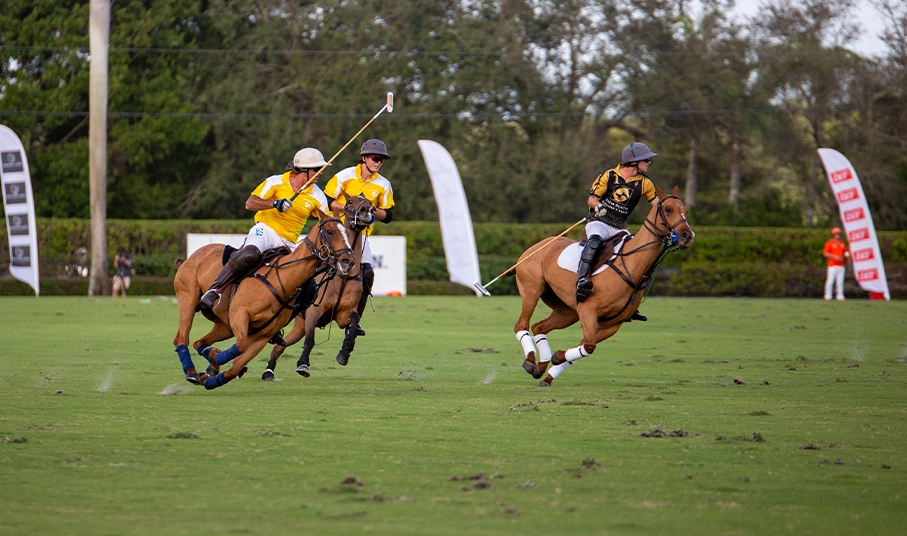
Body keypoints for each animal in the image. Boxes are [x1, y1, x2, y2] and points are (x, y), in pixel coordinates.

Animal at [172, 209, 356, 390]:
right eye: (330, 231)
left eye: (347, 233)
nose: (349, 261)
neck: (282, 279)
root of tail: (193, 255)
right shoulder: (239, 314)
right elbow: (240, 346)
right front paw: (216, 358)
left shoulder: (263, 335)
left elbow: (235, 367)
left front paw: (211, 378)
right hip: (188, 298)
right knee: (181, 338)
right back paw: (192, 372)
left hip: (225, 325)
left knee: (199, 342)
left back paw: (207, 361)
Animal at [262, 197, 376, 382]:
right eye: (349, 201)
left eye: (371, 203)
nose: (367, 211)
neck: (342, 276)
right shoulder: (314, 310)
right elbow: (310, 340)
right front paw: (303, 364)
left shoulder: (344, 314)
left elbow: (354, 320)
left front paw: (344, 353)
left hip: (299, 326)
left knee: (280, 346)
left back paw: (268, 372)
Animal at [510, 184, 696, 386]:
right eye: (668, 209)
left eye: (685, 211)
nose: (687, 235)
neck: (631, 265)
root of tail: (533, 247)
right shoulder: (588, 310)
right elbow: (588, 345)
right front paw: (557, 357)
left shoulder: (612, 324)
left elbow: (584, 347)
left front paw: (554, 366)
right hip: (532, 290)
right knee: (521, 325)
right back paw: (530, 361)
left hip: (567, 311)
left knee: (539, 327)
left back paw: (541, 367)